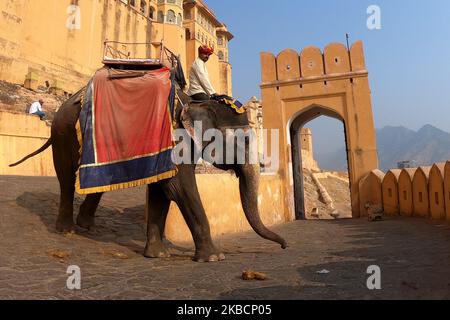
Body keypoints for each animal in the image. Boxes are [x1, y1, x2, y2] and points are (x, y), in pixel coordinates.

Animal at [9, 80, 288, 262]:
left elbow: (161, 190)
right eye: (247, 141)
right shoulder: (174, 139)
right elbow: (178, 188)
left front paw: (158, 254)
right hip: (63, 132)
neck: (195, 103)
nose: (285, 246)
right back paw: (67, 230)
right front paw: (214, 258)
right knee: (67, 179)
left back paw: (88, 227)